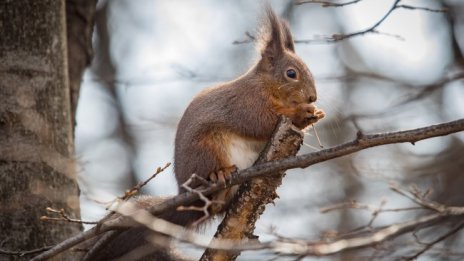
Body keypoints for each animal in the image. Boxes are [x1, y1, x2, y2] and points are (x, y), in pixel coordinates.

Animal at [85, 7, 324, 258]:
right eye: (291, 73)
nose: (312, 97)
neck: (265, 85)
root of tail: (184, 194)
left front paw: (314, 113)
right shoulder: (246, 103)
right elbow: (260, 122)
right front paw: (301, 113)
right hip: (207, 149)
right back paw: (219, 175)